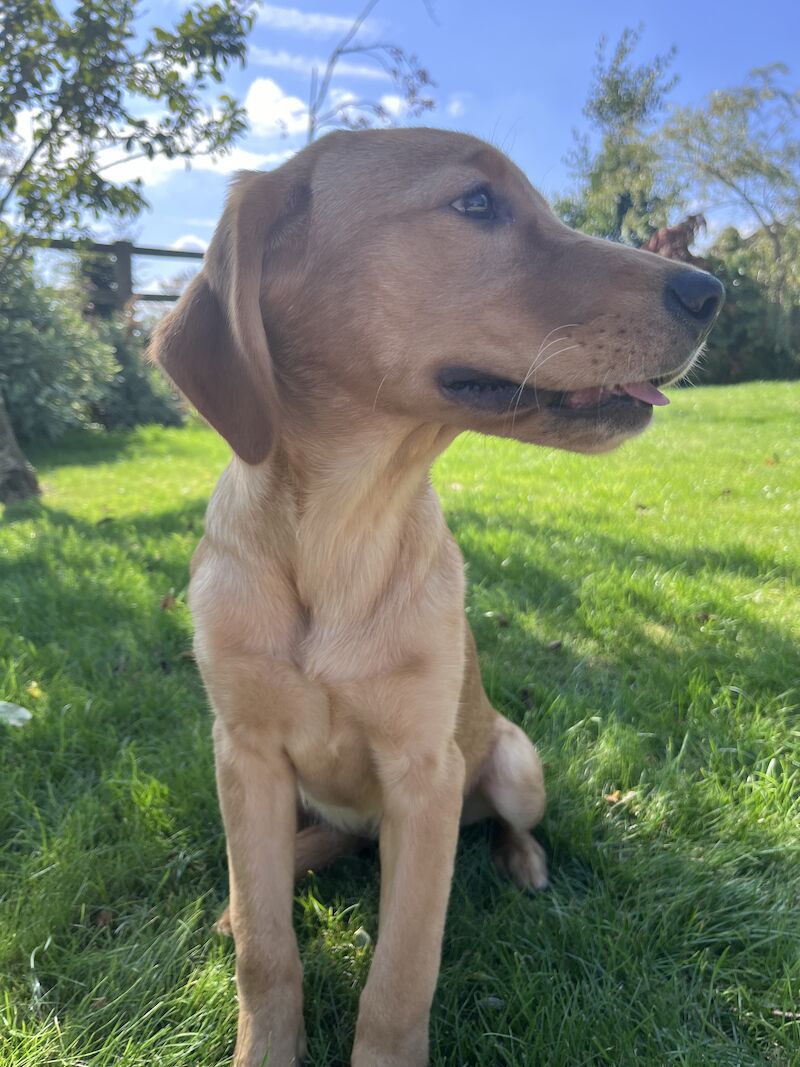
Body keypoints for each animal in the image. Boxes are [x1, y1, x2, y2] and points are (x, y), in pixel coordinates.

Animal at [151, 126, 725, 1067]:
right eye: (476, 203)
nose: (712, 290)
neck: (341, 535)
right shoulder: (244, 756)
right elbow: (269, 953)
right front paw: (263, 1033)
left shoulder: (426, 775)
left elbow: (399, 977)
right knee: (317, 847)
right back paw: (245, 900)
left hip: (514, 763)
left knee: (504, 820)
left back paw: (523, 862)